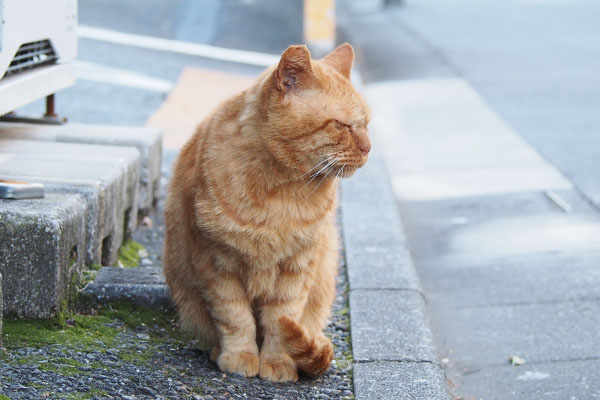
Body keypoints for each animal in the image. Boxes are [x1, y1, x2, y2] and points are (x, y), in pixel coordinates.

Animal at [164, 43, 370, 382]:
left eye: (367, 125)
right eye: (341, 125)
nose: (368, 148)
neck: (281, 194)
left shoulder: (297, 267)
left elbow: (280, 320)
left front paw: (276, 362)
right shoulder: (215, 262)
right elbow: (235, 317)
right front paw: (240, 355)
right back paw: (218, 351)